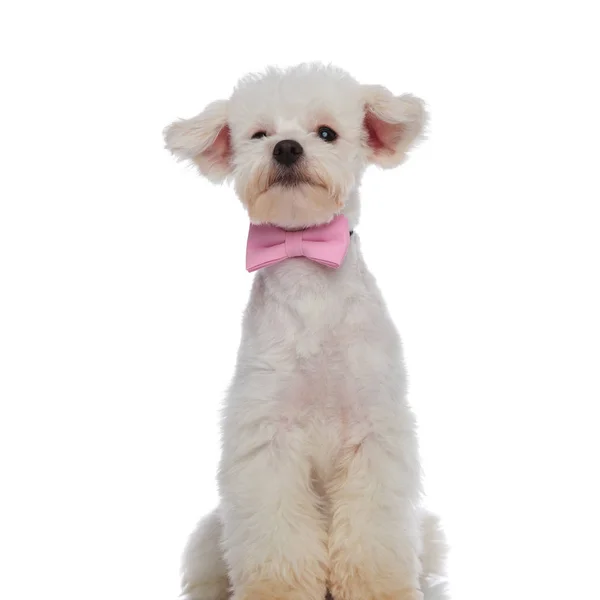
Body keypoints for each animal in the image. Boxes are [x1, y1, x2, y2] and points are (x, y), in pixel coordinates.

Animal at [165, 62, 450, 600]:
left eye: (326, 133)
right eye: (259, 134)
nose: (286, 147)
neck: (307, 271)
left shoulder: (373, 432)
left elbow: (372, 535)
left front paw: (379, 587)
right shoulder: (268, 434)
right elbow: (278, 537)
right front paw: (276, 589)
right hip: (213, 532)